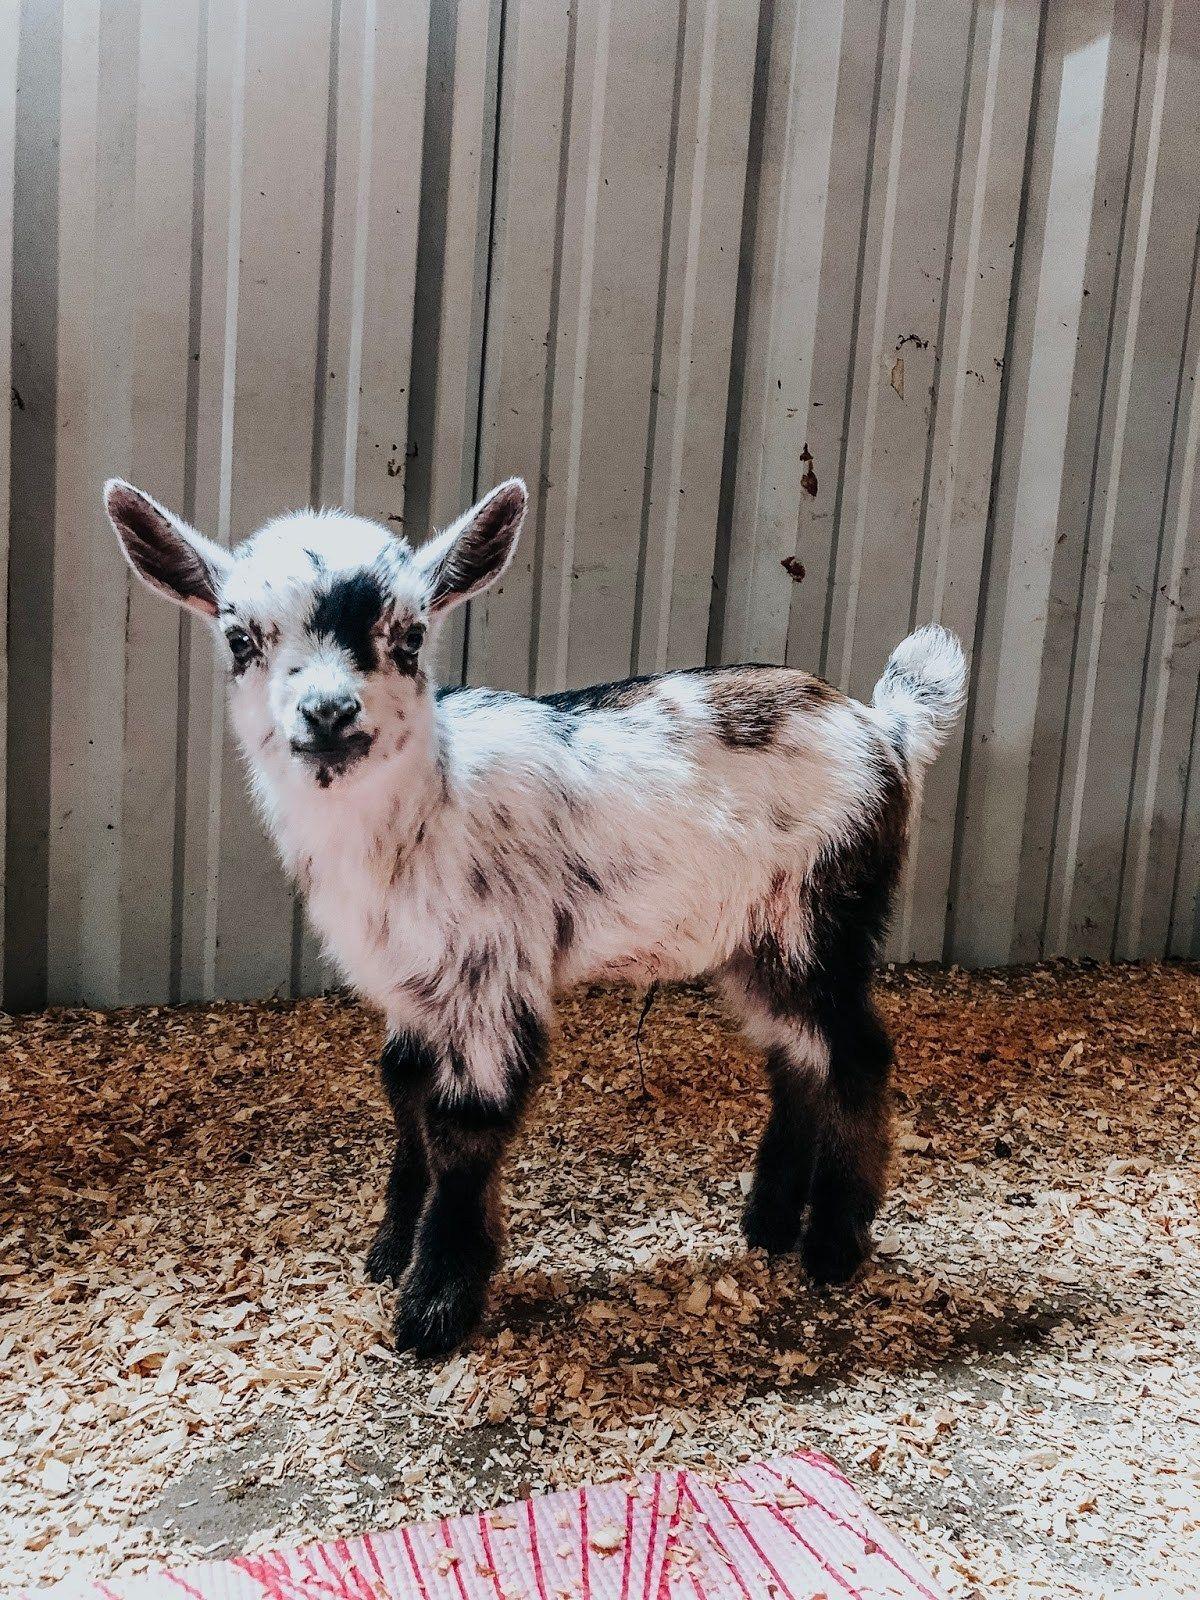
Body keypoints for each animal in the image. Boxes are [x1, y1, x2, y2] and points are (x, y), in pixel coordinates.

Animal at [104, 475, 966, 1356]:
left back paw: (834, 1246)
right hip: (754, 939)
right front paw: (390, 1252)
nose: (330, 712)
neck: (426, 811)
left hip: (823, 913)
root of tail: (886, 728)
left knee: (857, 1053)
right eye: (240, 637)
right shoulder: (410, 983)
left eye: (411, 635)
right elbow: (404, 1092)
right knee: (799, 1057)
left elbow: (466, 1124)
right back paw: (769, 1225)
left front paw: (436, 1306)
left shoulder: (490, 970)